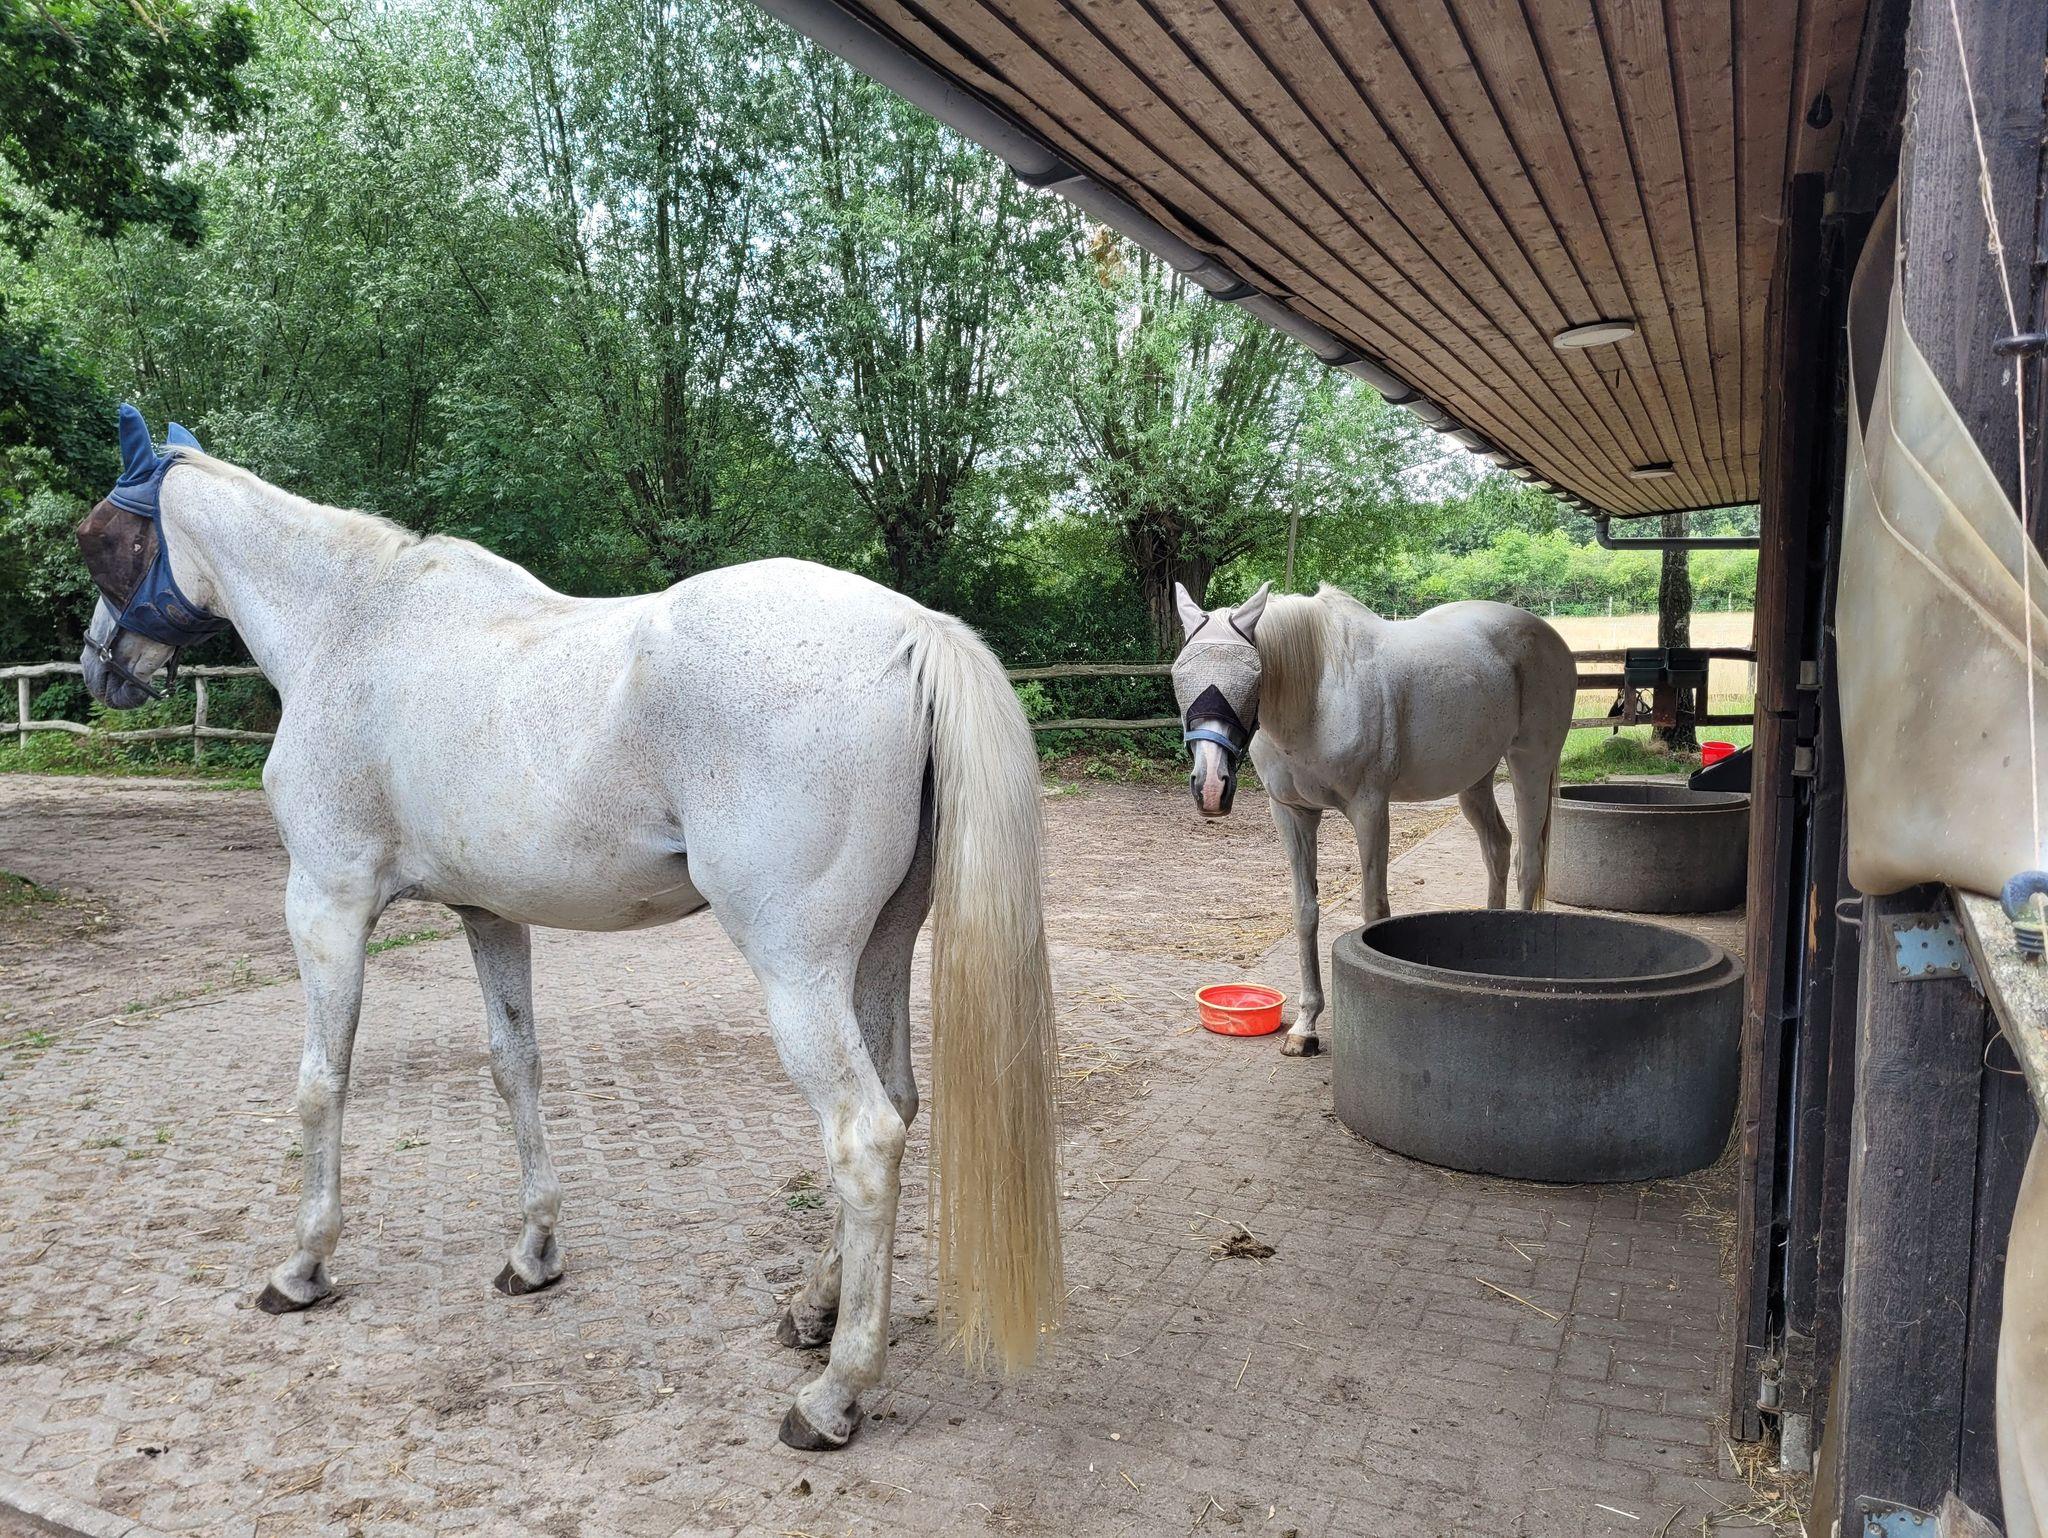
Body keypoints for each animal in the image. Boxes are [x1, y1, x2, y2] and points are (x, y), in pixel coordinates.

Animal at [71, 407, 1063, 1450]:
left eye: (101, 535)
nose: (100, 665)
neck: (353, 627)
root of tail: (910, 631)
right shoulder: (488, 915)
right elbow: (517, 1067)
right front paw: (535, 1249)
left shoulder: (326, 903)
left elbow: (321, 1085)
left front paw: (304, 1266)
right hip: (876, 952)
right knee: (899, 1105)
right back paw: (811, 1311)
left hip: (799, 973)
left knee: (863, 1140)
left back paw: (834, 1394)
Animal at [1169, 580, 1576, 1058]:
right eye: (1178, 674)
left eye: (1251, 678)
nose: (1211, 787)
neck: (1318, 693)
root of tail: (1546, 634)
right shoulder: (1292, 813)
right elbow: (1305, 911)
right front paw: (1305, 1027)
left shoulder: (1369, 810)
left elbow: (1373, 907)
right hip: (1475, 779)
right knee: (1497, 848)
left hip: (1531, 764)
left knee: (1527, 862)